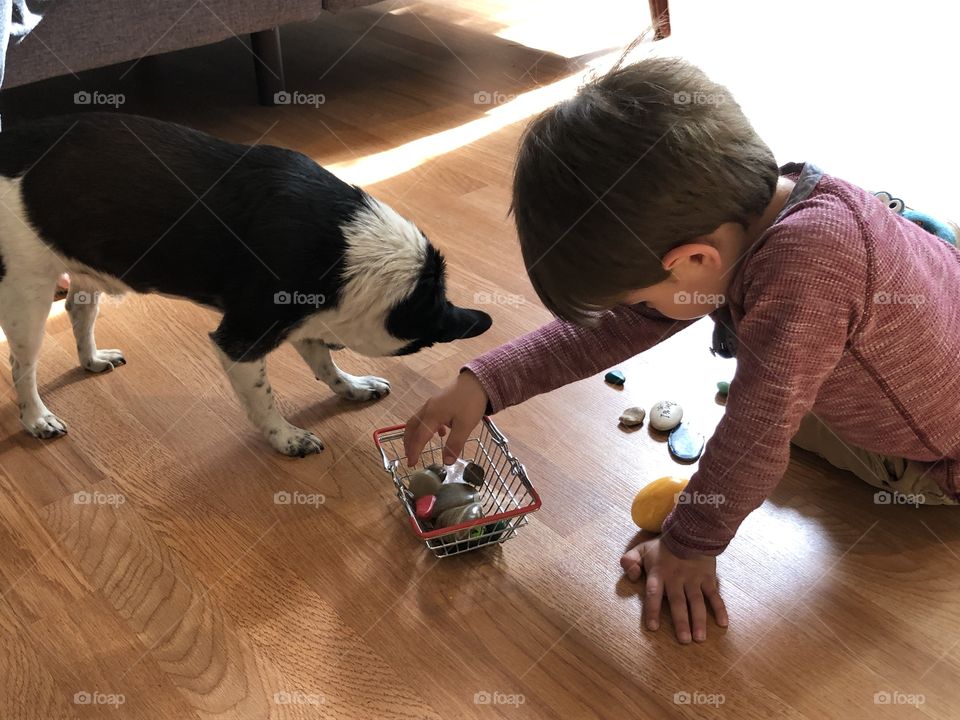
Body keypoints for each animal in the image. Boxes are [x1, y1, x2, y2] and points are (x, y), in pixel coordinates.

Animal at [0, 112, 492, 456]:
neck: (353, 246)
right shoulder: (242, 340)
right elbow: (264, 399)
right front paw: (286, 438)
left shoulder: (303, 322)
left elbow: (326, 367)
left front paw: (353, 388)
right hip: (26, 294)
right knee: (22, 366)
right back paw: (37, 417)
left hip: (81, 270)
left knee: (78, 313)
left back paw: (91, 359)